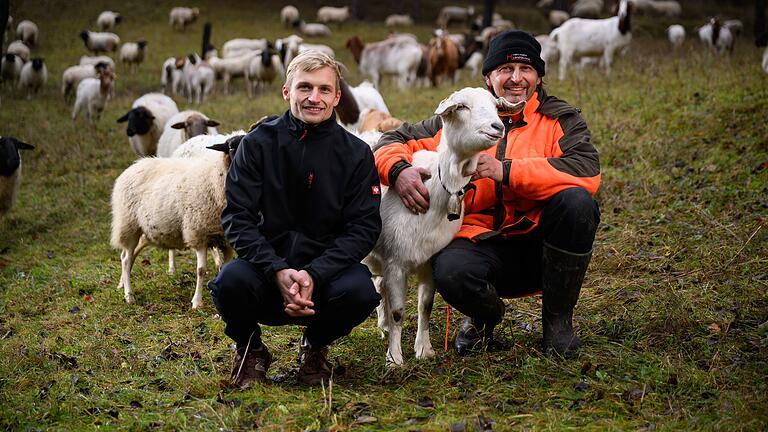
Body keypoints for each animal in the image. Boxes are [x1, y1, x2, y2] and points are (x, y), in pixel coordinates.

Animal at [109, 132, 243, 308]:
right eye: (231, 147)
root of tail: (134, 166)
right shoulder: (198, 233)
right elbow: (201, 270)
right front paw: (196, 302)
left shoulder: (225, 240)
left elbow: (225, 268)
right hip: (129, 224)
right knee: (125, 259)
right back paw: (129, 295)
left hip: (145, 230)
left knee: (130, 255)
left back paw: (122, 284)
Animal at [364, 87, 520, 364]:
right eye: (462, 107)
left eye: (495, 106)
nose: (497, 127)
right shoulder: (395, 262)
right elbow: (398, 312)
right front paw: (395, 359)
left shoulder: (430, 260)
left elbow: (425, 306)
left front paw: (424, 350)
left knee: (380, 285)